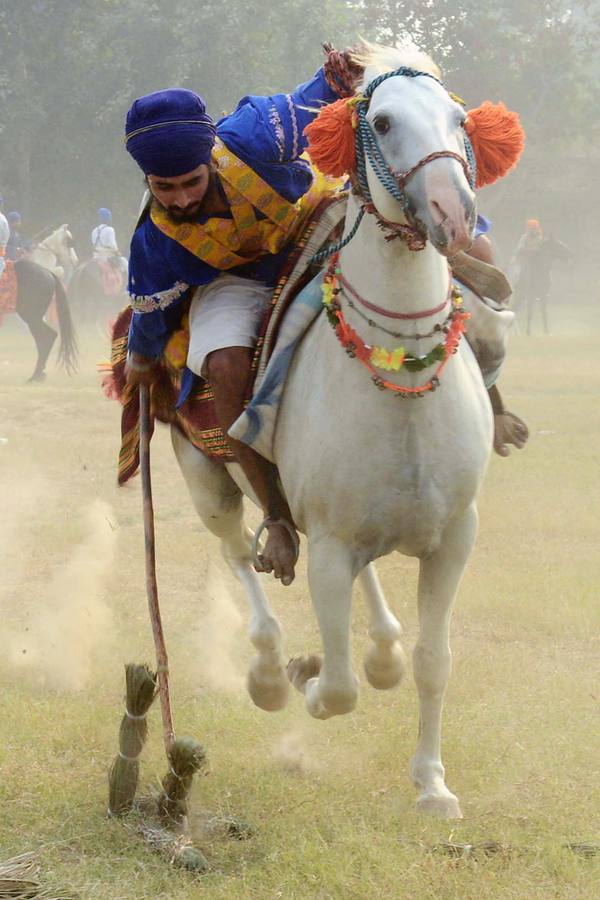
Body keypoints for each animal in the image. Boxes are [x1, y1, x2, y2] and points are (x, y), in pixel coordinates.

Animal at [170, 45, 510, 816]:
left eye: (458, 119)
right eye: (381, 122)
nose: (454, 213)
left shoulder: (456, 536)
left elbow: (434, 661)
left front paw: (433, 784)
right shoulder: (325, 545)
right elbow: (341, 687)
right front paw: (309, 677)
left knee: (372, 595)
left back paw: (380, 647)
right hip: (206, 481)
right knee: (239, 553)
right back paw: (271, 670)